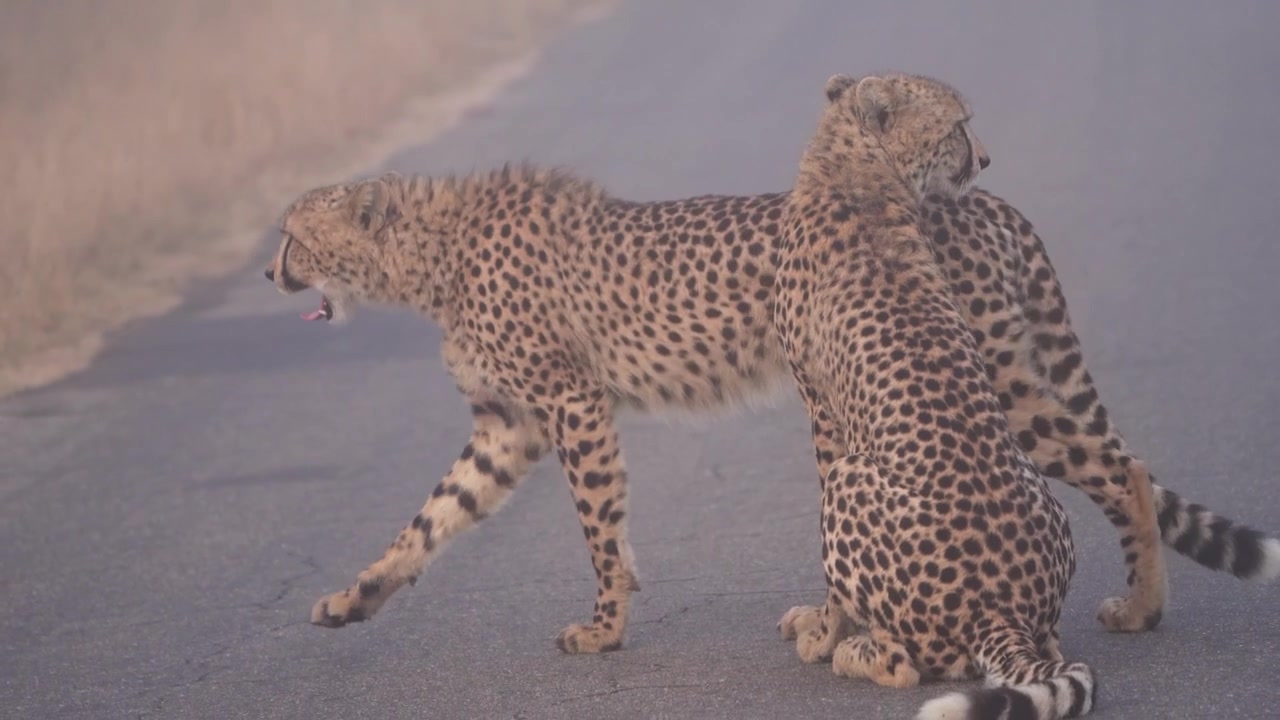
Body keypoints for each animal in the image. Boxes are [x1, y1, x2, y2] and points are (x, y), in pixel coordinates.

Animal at [263, 118, 1278, 656]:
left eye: (293, 236)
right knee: (1123, 459)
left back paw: (1142, 608)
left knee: (1125, 467)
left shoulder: (571, 406)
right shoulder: (506, 426)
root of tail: (979, 196)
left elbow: (597, 527)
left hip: (995, 385)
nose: (269, 274)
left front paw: (605, 627)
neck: (423, 257)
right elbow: (430, 519)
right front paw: (355, 598)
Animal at [772, 70, 1096, 719]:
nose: (987, 159)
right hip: (1043, 504)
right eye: (958, 127)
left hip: (851, 476)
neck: (854, 168)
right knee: (1051, 643)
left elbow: (833, 596)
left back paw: (858, 653)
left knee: (904, 667)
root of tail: (1004, 607)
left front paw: (824, 633)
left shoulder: (822, 414)